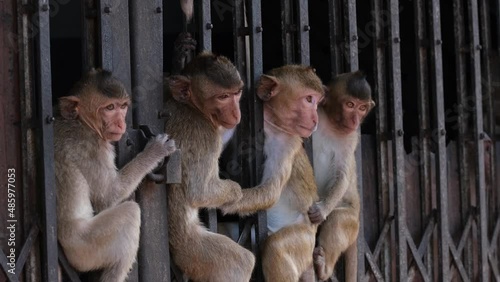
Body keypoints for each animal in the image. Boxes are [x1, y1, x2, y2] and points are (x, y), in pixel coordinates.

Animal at [308, 70, 376, 280]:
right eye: (350, 105)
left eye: (362, 108)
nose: (355, 121)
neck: (332, 123)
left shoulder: (352, 137)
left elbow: (342, 173)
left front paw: (322, 209)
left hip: (352, 220)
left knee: (338, 219)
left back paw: (324, 269)